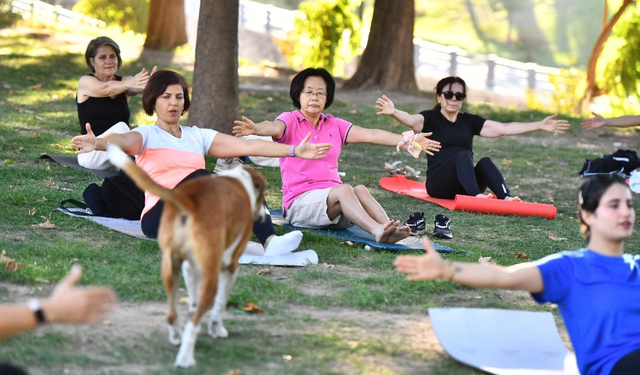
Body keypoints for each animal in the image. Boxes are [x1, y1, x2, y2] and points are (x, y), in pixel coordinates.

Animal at [107, 145, 264, 368]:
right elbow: (219, 305)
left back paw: (176, 337)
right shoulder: (229, 267)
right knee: (193, 323)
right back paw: (185, 359)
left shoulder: (190, 268)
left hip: (170, 269)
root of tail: (189, 200)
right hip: (210, 278)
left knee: (172, 314)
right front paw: (217, 330)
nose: (264, 216)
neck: (239, 182)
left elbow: (192, 304)